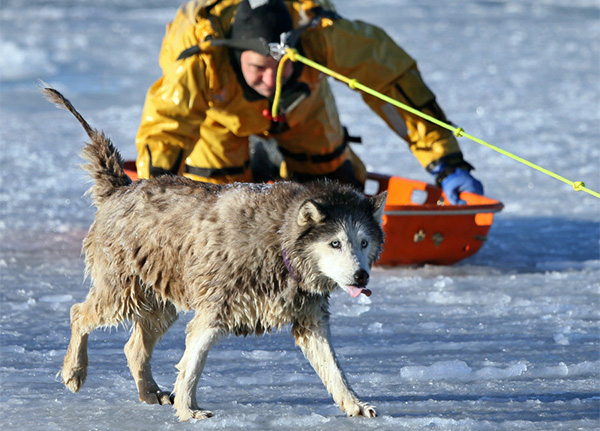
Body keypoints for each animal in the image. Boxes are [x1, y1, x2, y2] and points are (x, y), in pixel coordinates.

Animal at [45, 88, 384, 422]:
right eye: (335, 243)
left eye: (364, 243)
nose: (361, 276)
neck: (279, 243)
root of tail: (122, 187)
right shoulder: (213, 310)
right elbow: (192, 365)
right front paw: (189, 409)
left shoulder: (309, 318)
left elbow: (334, 369)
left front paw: (354, 403)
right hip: (122, 292)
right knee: (78, 314)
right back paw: (74, 370)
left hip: (158, 303)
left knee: (134, 348)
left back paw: (150, 392)